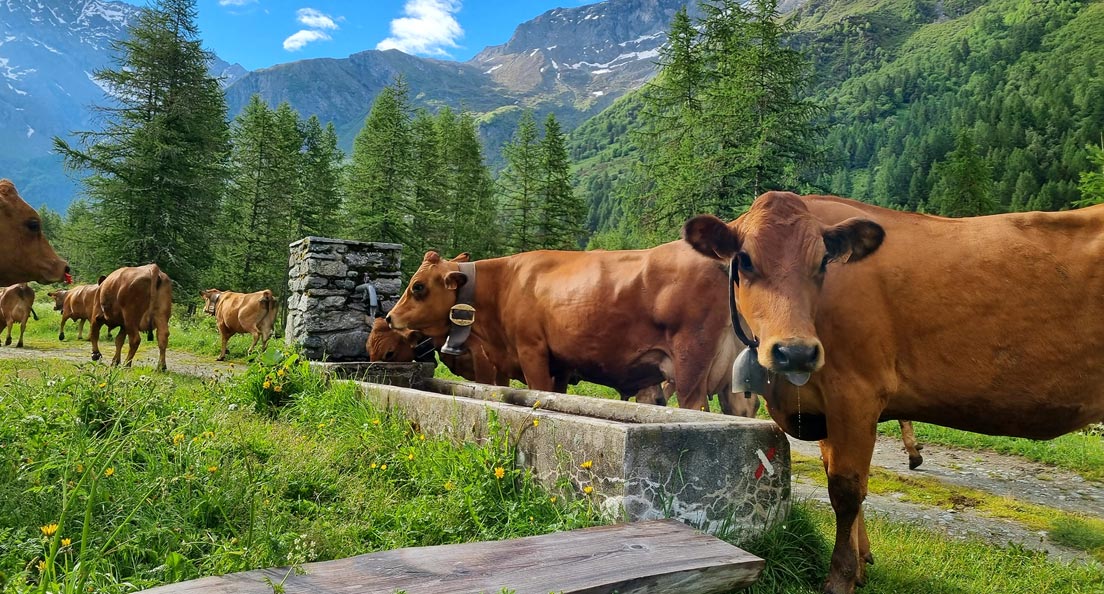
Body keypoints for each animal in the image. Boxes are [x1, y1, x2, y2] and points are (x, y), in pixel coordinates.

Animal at [680, 191, 1104, 591]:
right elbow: (845, 479)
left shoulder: (856, 392)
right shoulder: (825, 407)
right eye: (746, 261)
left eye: (823, 262)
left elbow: (846, 488)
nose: (795, 352)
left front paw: (841, 578)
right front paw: (861, 563)